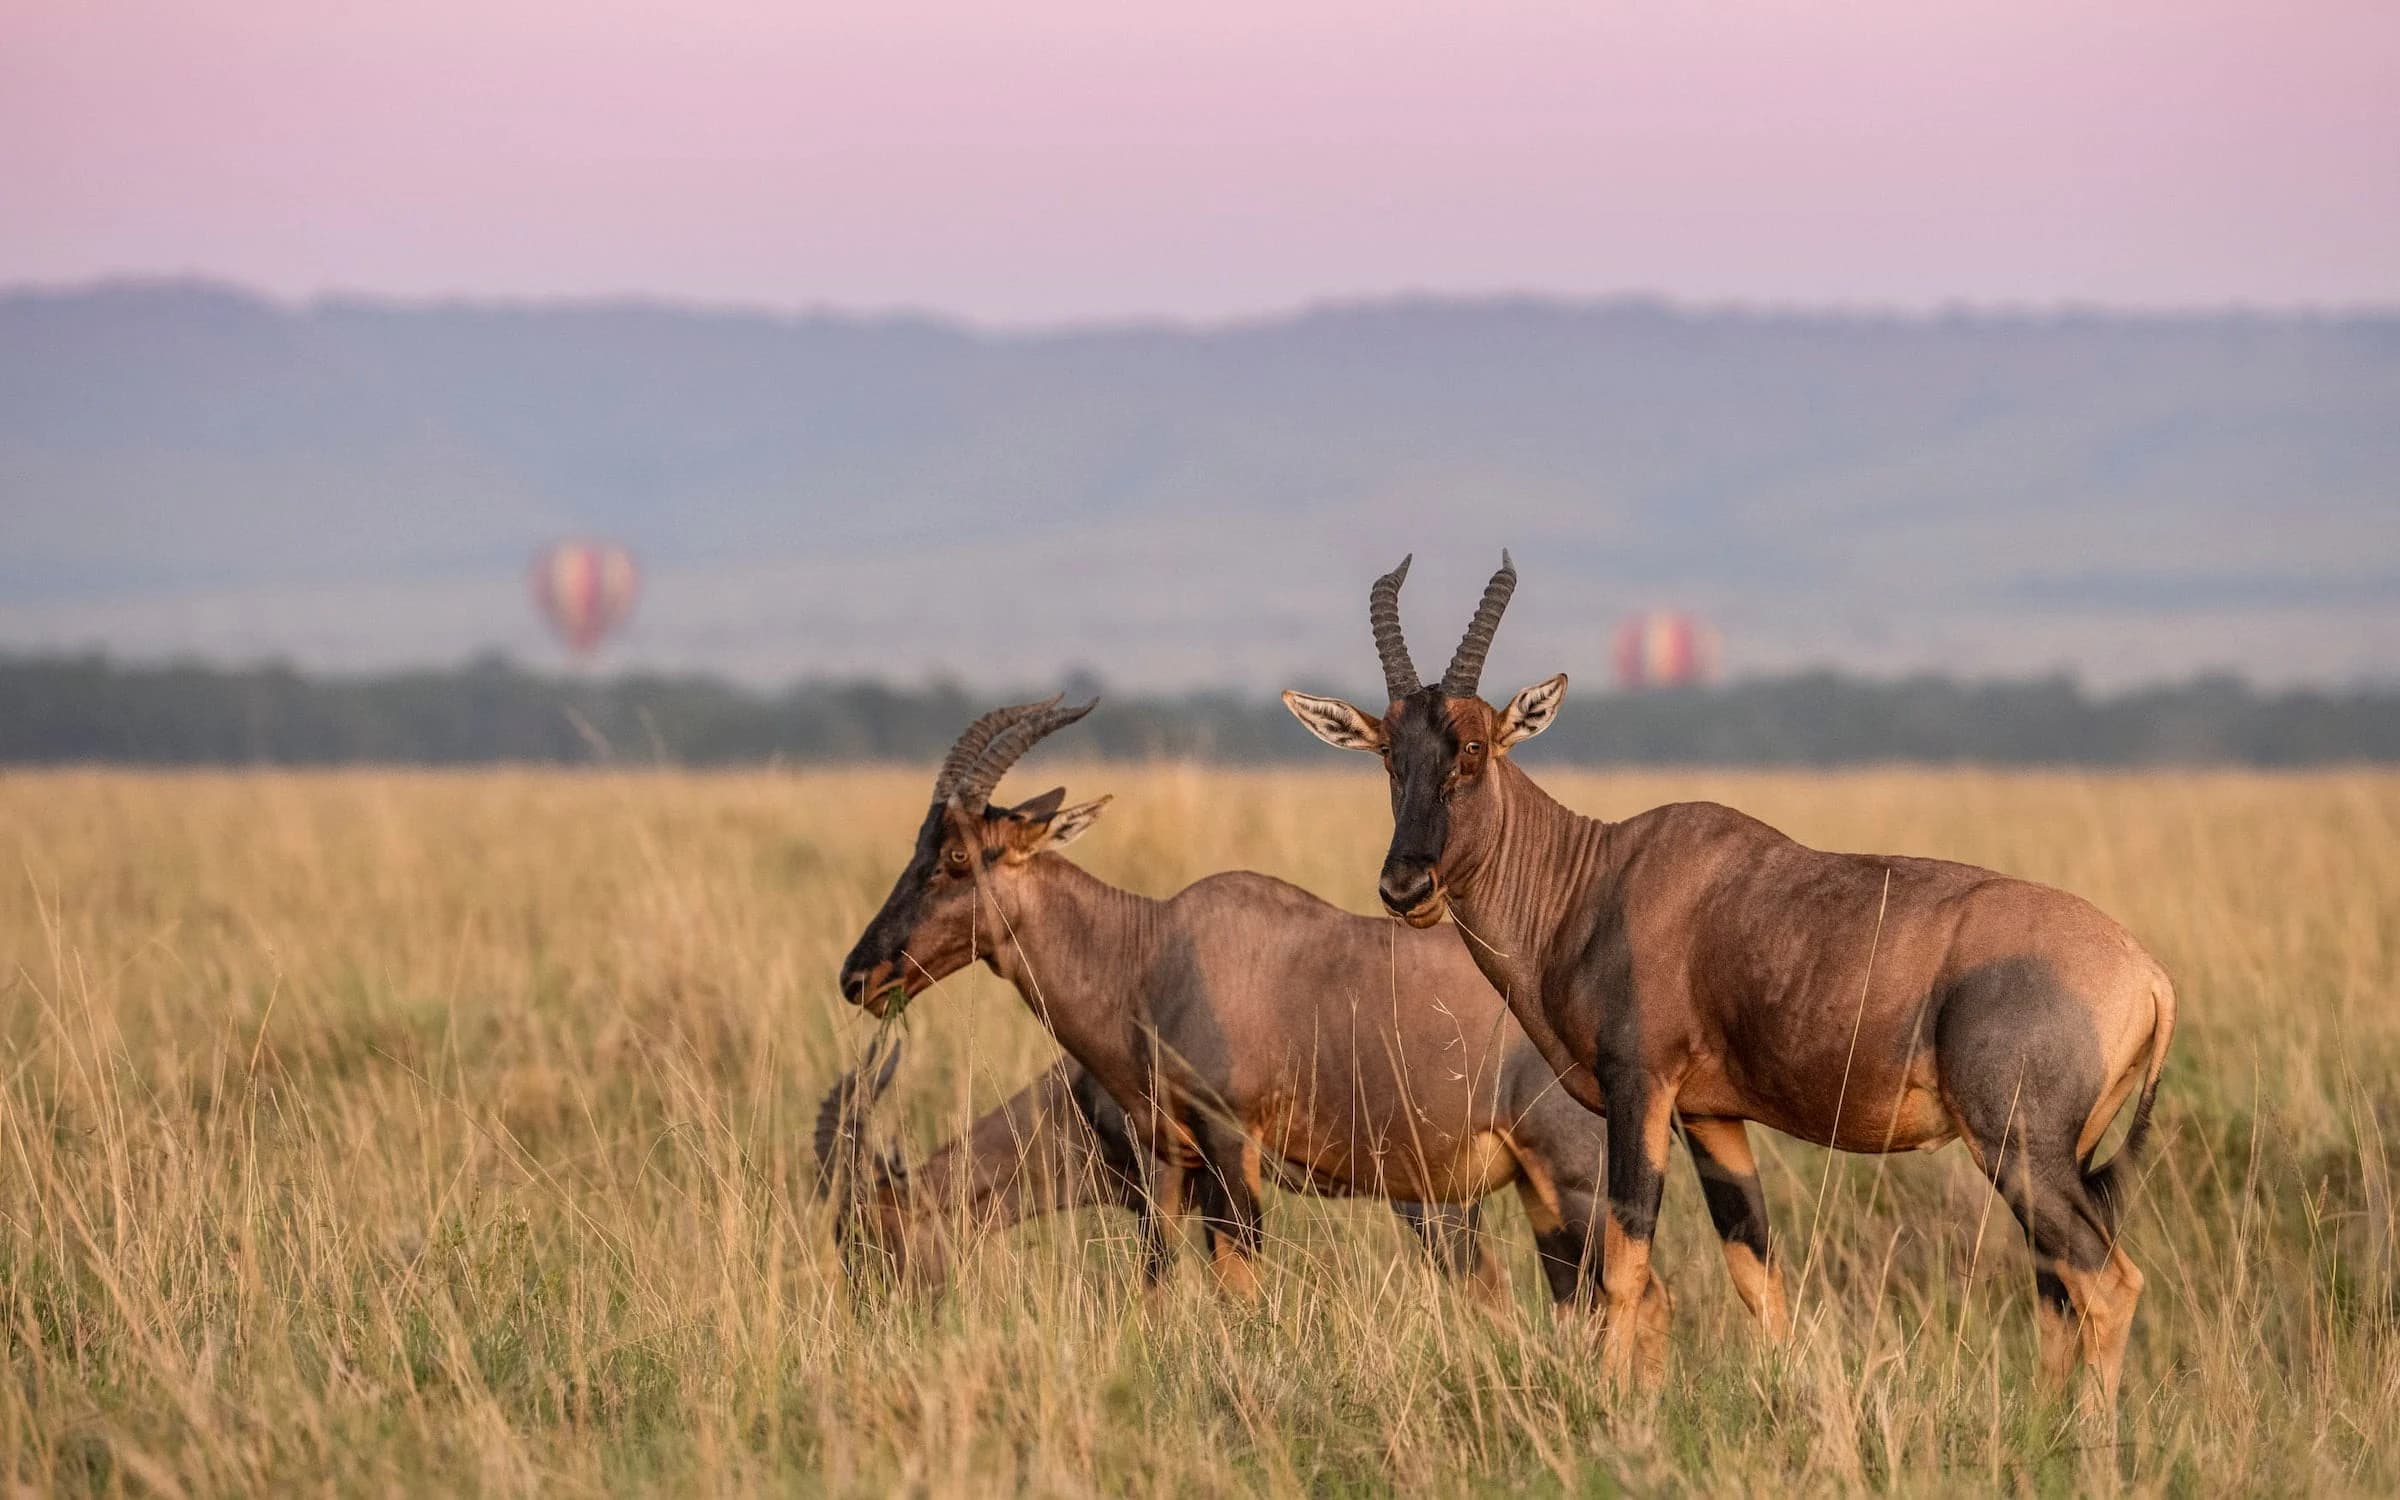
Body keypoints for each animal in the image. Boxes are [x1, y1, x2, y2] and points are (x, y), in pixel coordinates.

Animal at [1283, 554, 2175, 1410]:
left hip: (2019, 1147)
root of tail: (2148, 974)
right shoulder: (1712, 1115)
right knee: (2058, 1287)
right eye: (1390, 753)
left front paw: (1613, 1408)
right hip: (2058, 1157)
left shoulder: (1641, 1087)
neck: (1598, 877)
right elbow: (1756, 1270)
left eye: (1474, 746)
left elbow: (1626, 1258)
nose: (1407, 887)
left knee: (2108, 1281)